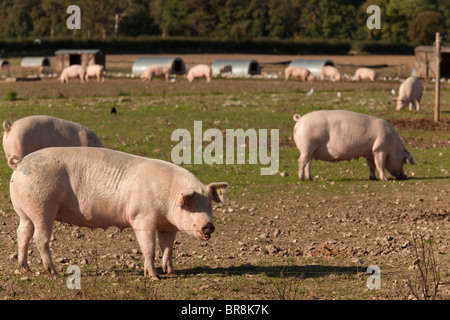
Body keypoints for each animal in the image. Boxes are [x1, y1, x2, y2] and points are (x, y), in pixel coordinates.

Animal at [9, 148, 229, 280]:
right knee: (40, 238)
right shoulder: (141, 218)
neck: (169, 196)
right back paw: (54, 272)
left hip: (24, 211)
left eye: (209, 204)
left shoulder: (168, 226)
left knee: (23, 233)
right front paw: (154, 277)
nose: (209, 225)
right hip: (43, 206)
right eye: (190, 204)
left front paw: (172, 273)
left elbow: (168, 249)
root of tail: (20, 164)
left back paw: (25, 268)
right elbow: (149, 249)